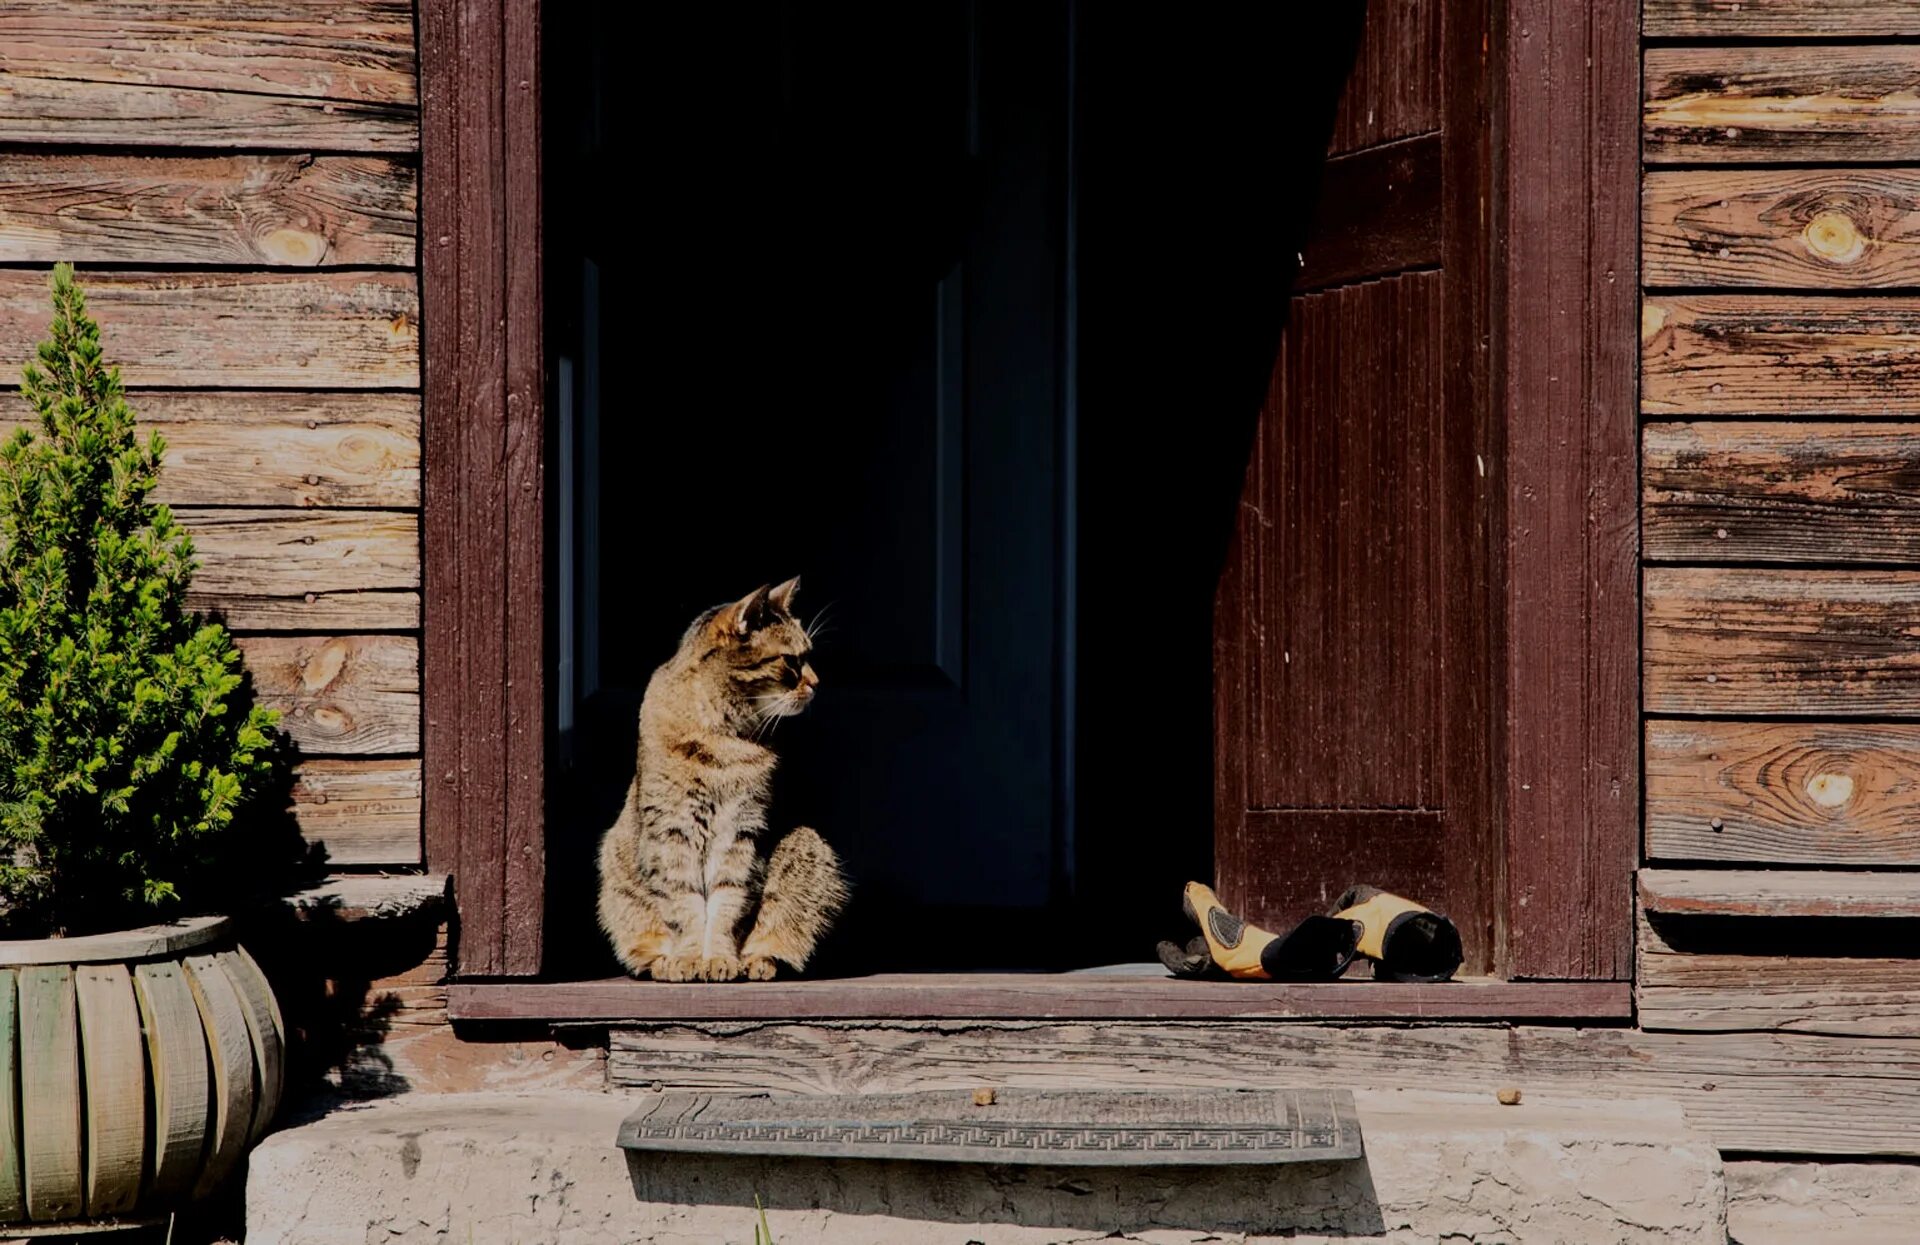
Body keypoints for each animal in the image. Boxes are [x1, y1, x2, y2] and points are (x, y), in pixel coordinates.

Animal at [591, 576, 848, 983]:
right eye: (792, 660)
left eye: (808, 655)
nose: (816, 682)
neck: (721, 738)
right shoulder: (672, 828)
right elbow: (685, 906)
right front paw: (689, 959)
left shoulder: (742, 831)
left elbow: (727, 904)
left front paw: (720, 959)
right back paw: (663, 962)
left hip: (810, 847)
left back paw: (758, 962)